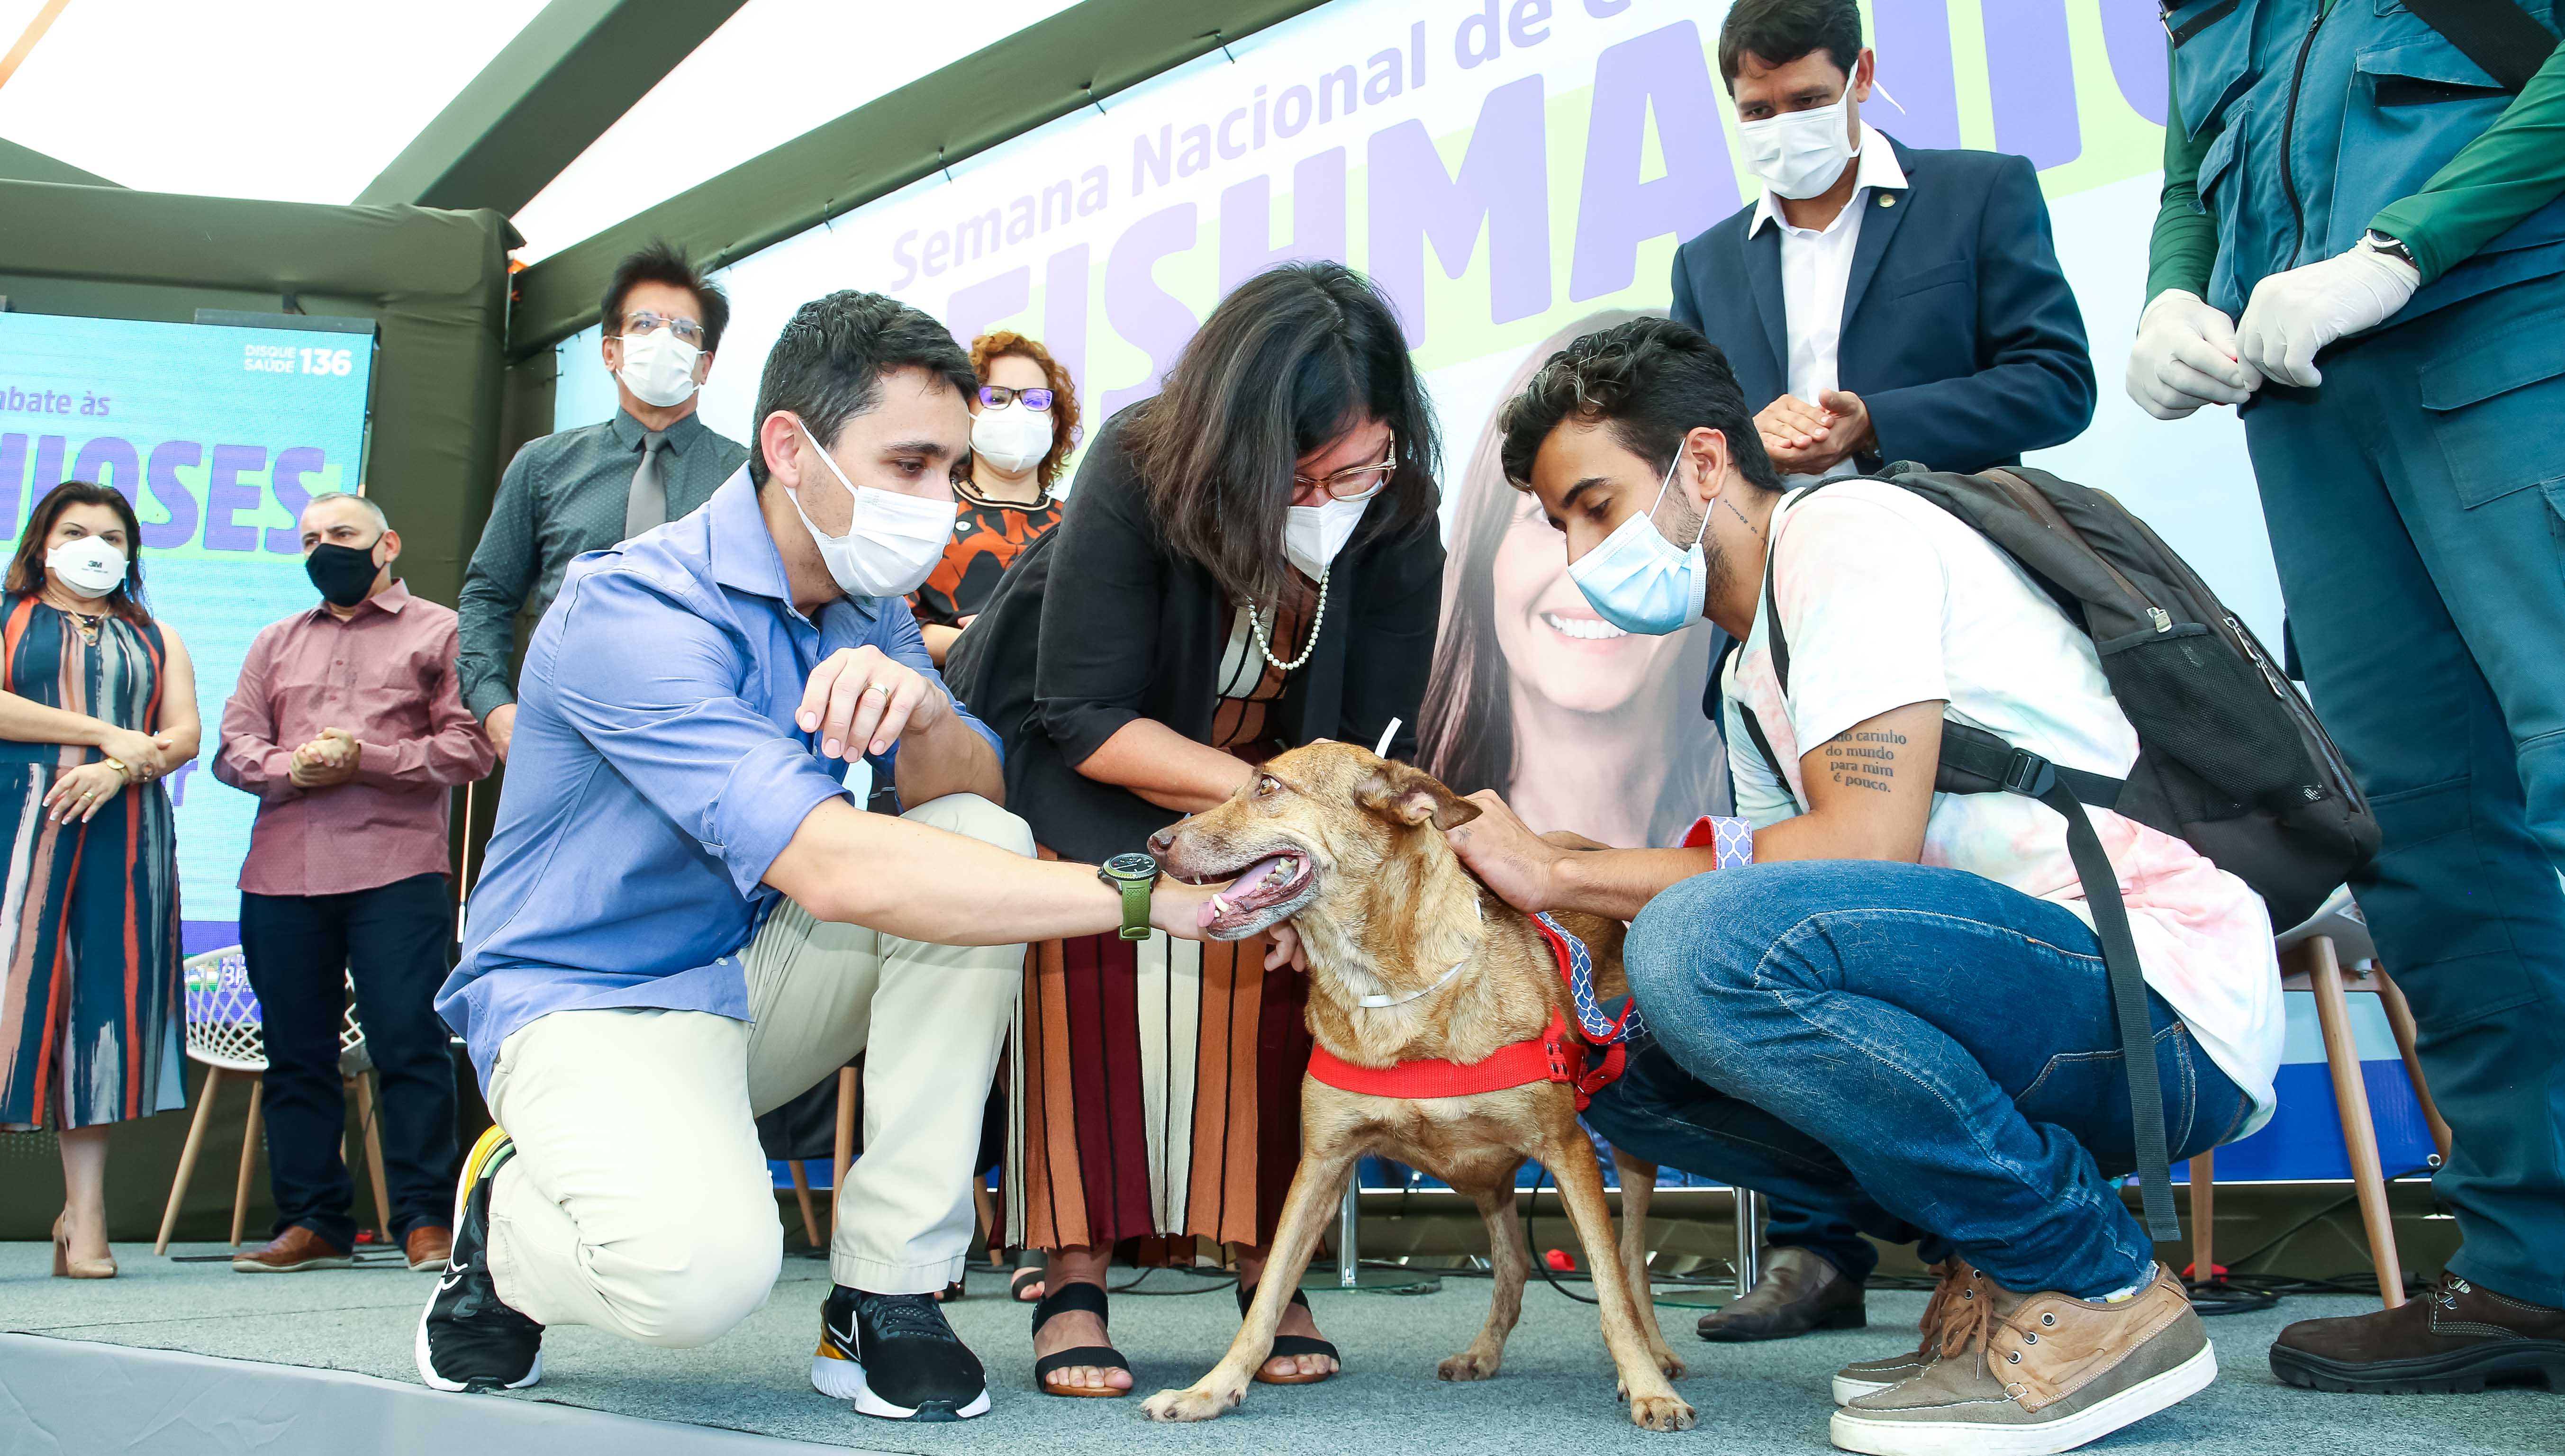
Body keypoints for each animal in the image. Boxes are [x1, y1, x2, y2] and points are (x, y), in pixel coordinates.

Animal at [1139, 743, 1682, 1425]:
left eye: (1267, 786)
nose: (1155, 842)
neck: (1389, 990)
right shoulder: (1321, 1165)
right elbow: (1267, 1298)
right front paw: (1212, 1388)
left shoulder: (1569, 1151)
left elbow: (1610, 1293)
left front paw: (1646, 1386)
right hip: (1485, 1177)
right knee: (1514, 1263)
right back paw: (1483, 1352)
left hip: (1626, 1149)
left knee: (1631, 1262)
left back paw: (1656, 1356)